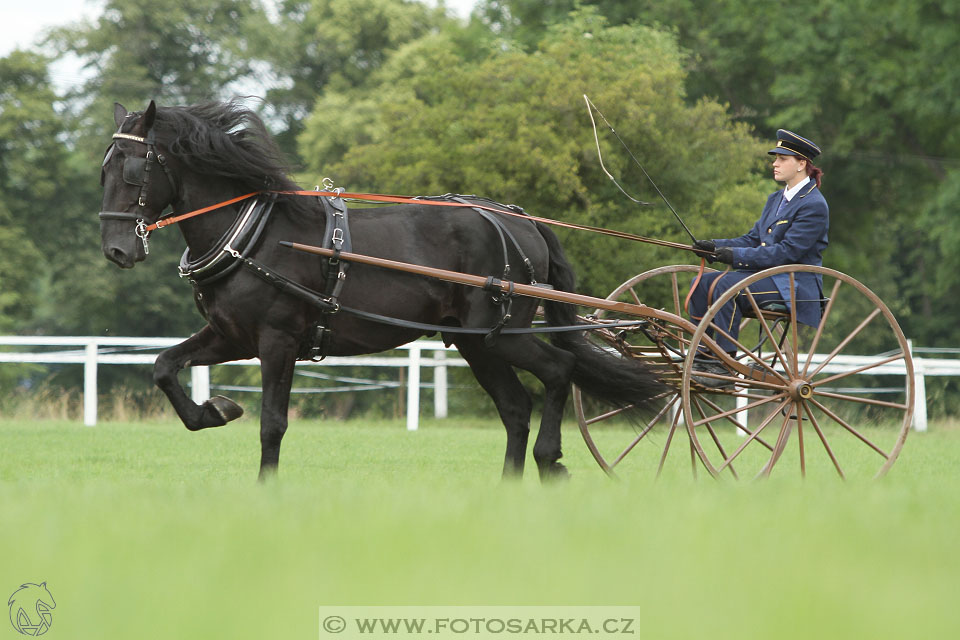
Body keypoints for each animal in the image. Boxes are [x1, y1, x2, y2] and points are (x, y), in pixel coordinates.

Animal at [99, 101, 668, 480]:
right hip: (476, 342)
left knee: (558, 369)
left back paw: (550, 461)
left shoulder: (278, 340)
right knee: (514, 408)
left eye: (134, 169)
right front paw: (213, 411)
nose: (116, 250)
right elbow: (164, 367)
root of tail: (519, 221)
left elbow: (272, 424)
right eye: (103, 168)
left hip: (500, 332)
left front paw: (266, 487)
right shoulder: (231, 336)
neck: (253, 233)